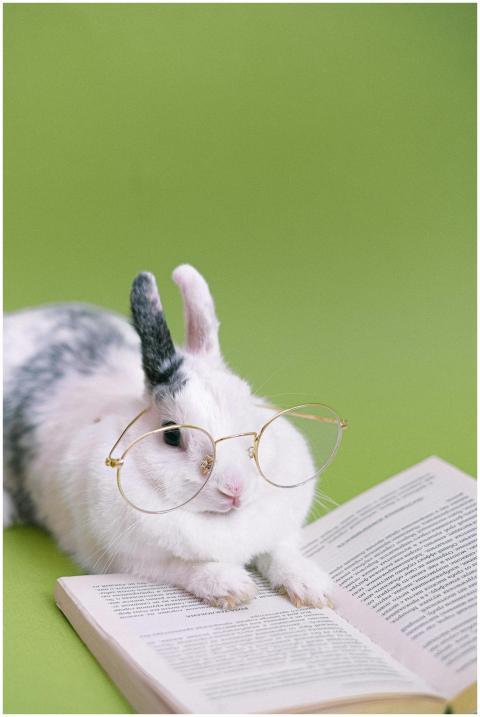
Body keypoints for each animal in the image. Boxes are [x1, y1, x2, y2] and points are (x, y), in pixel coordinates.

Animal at [4, 265, 333, 609]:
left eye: (248, 409)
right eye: (172, 435)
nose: (235, 489)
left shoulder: (278, 533)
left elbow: (280, 554)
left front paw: (314, 589)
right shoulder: (133, 560)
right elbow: (186, 567)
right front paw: (232, 588)